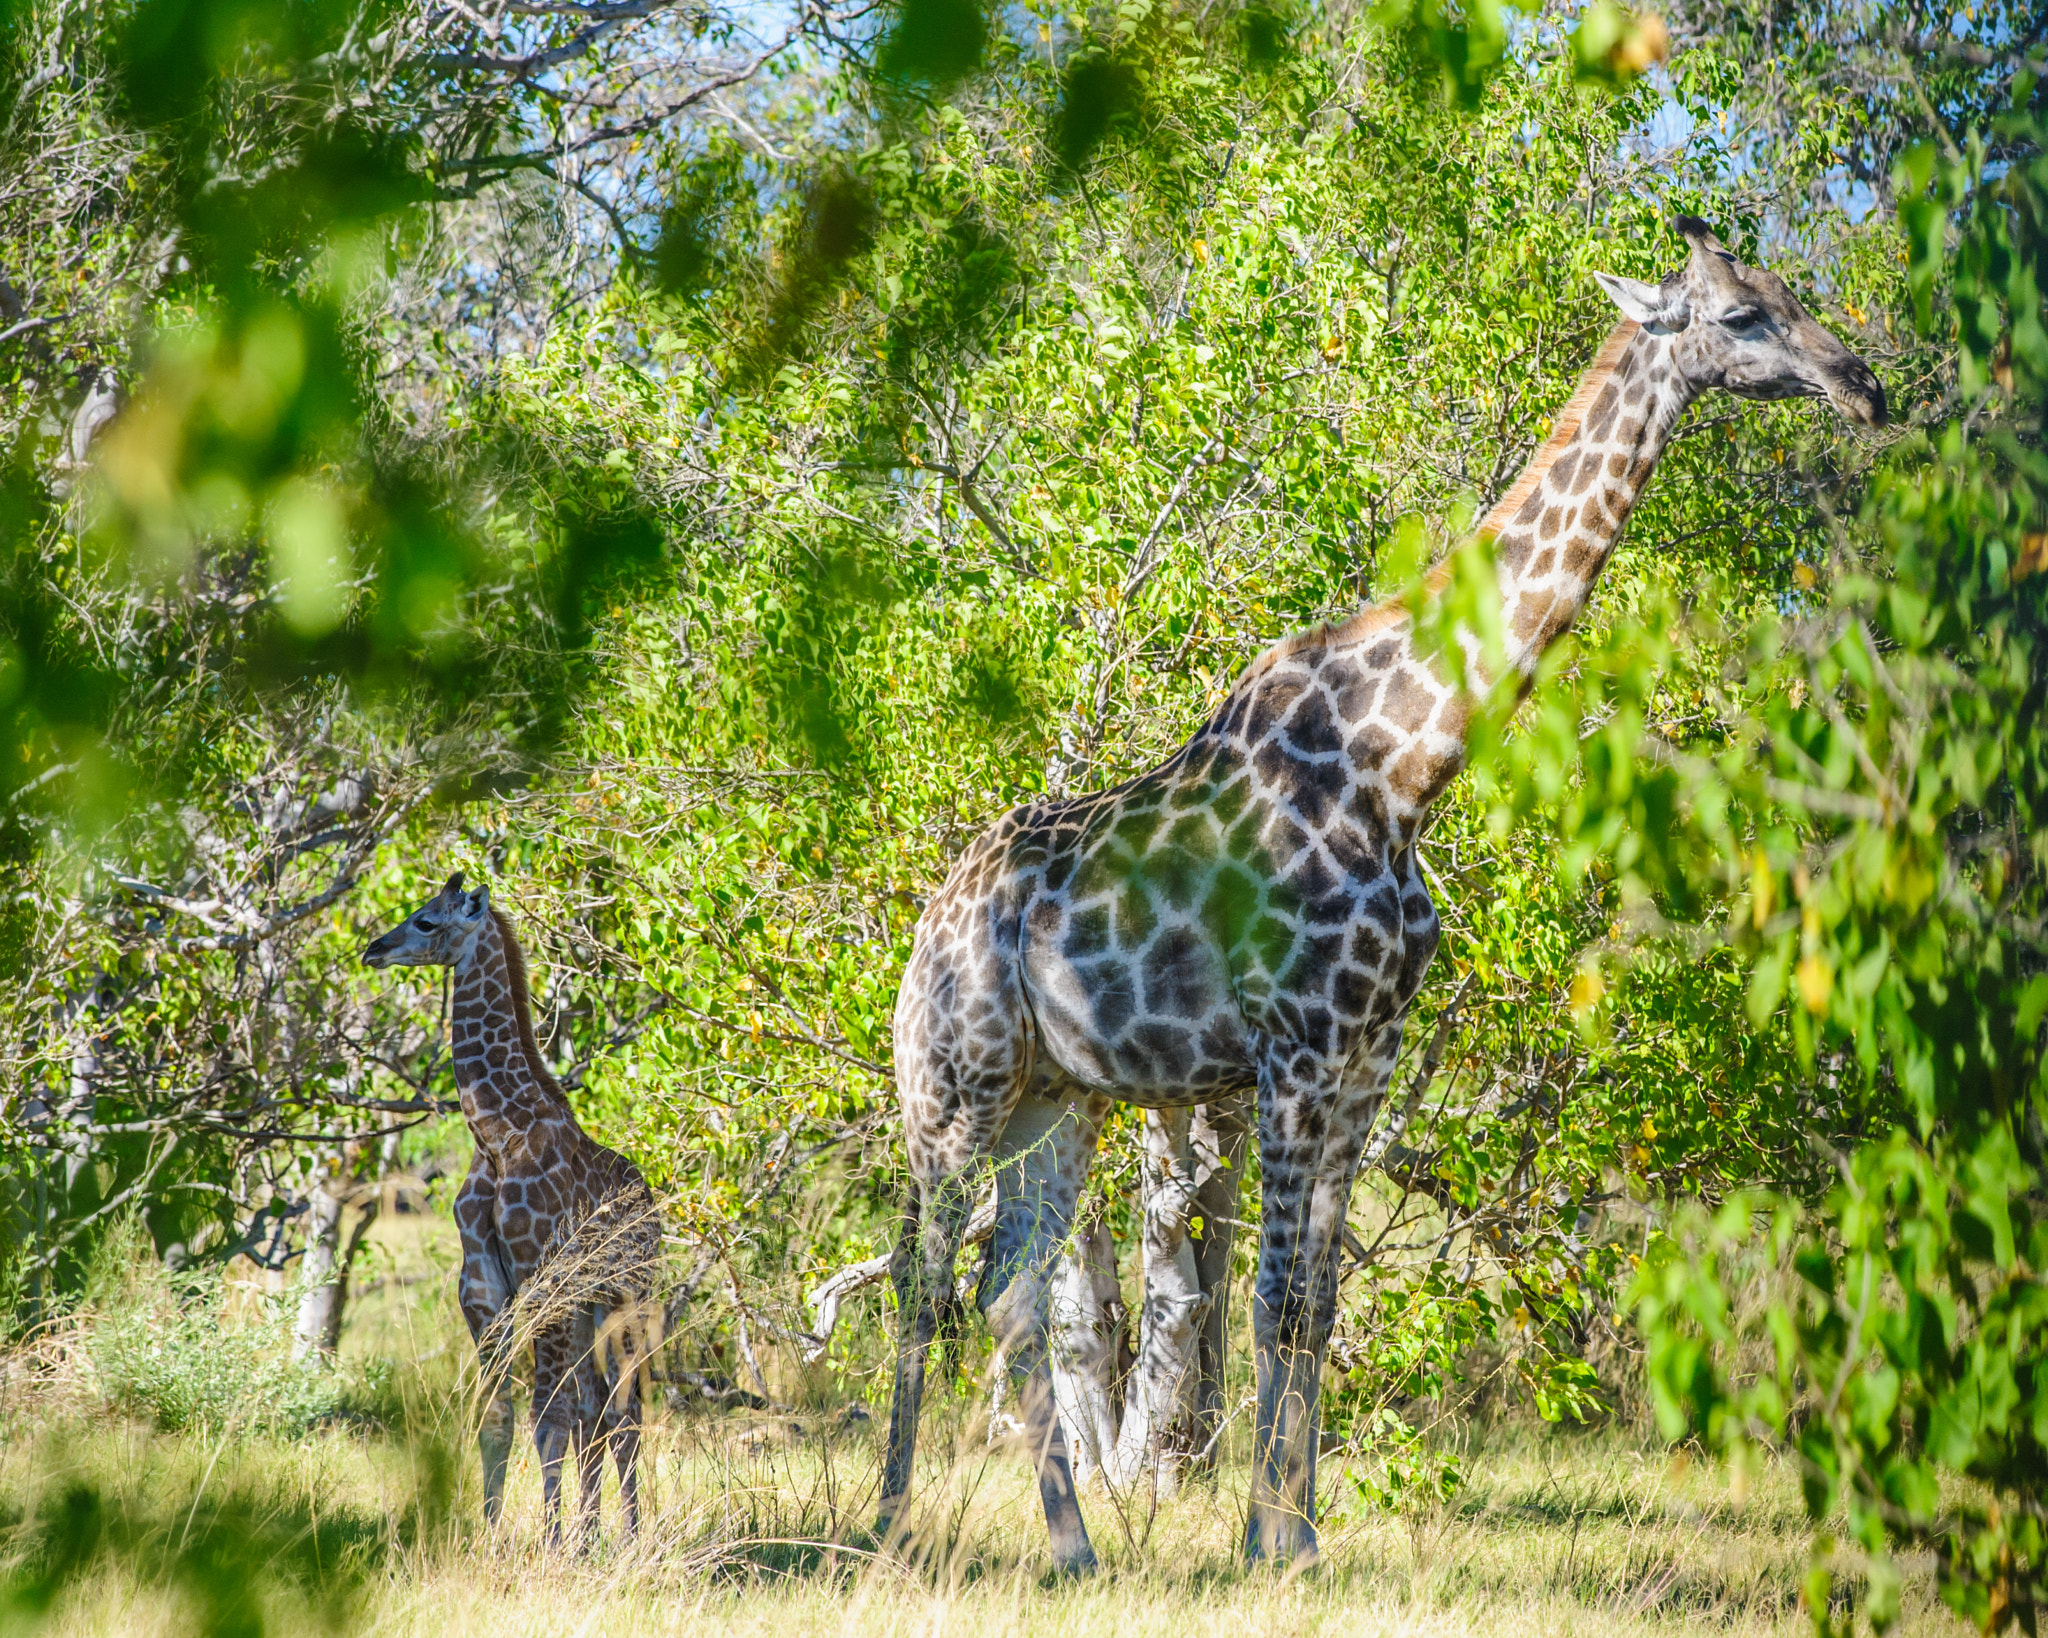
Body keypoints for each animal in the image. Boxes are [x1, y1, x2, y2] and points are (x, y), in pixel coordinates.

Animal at [360, 876, 663, 1539]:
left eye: (426, 922)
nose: (374, 948)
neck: (497, 1135)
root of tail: (654, 1205)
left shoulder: (545, 1282)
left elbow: (549, 1419)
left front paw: (549, 1543)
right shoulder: (482, 1288)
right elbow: (498, 1417)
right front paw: (493, 1537)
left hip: (629, 1299)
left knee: (624, 1412)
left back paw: (628, 1539)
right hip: (587, 1309)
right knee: (597, 1412)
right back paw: (593, 1537)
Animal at [880, 210, 1884, 1564]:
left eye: (1789, 289)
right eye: (1738, 316)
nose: (1862, 385)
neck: (1406, 766)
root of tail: (920, 931)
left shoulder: (1365, 1057)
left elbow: (1317, 1298)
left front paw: (1298, 1539)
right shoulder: (1295, 1053)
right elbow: (1272, 1301)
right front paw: (1265, 1546)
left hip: (1057, 1101)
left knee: (1007, 1293)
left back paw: (1074, 1550)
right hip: (953, 1086)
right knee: (920, 1278)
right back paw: (885, 1526)